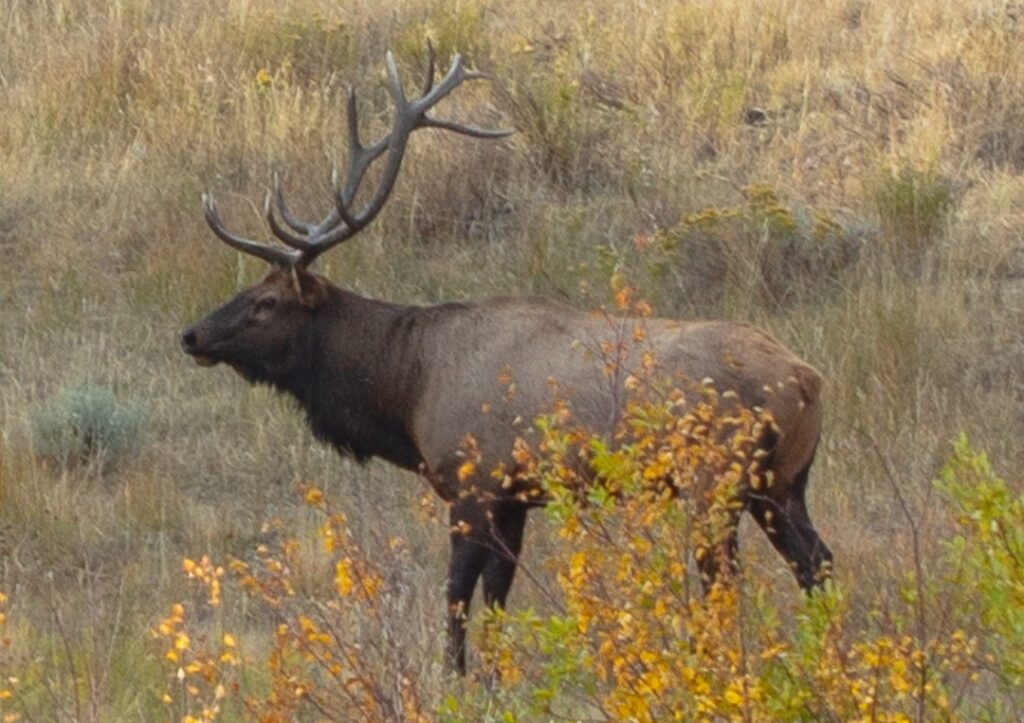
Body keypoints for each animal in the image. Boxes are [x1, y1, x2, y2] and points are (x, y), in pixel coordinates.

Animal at [180, 48, 833, 675]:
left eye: (265, 303)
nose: (191, 335)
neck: (408, 386)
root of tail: (808, 380)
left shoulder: (476, 486)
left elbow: (456, 596)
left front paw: (455, 680)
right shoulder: (516, 498)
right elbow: (496, 599)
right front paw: (494, 681)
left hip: (715, 481)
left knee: (727, 580)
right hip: (784, 484)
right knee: (817, 562)